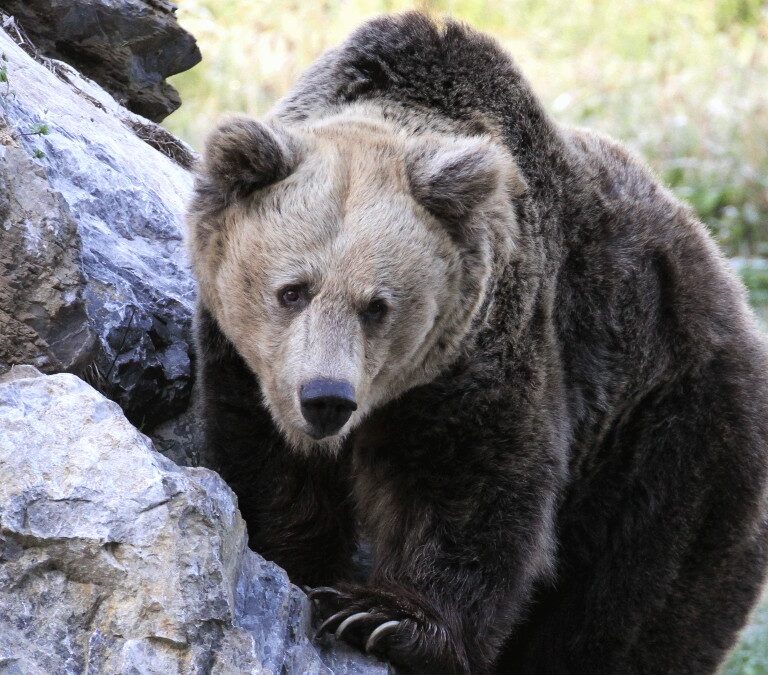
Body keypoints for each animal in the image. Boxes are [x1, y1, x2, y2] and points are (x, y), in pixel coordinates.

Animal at [187, 12, 768, 675]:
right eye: (292, 290)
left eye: (377, 305)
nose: (326, 398)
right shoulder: (245, 364)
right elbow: (268, 467)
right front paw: (297, 562)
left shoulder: (493, 345)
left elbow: (478, 486)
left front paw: (383, 617)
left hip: (673, 436)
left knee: (636, 601)